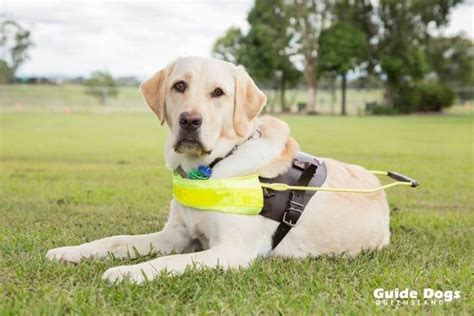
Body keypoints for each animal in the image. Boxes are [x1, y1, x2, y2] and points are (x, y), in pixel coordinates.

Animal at [46, 56, 390, 284]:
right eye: (179, 86)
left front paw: (128, 271)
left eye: (218, 93)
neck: (211, 167)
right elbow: (115, 240)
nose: (189, 121)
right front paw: (71, 251)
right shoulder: (176, 234)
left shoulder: (231, 251)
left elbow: (170, 261)